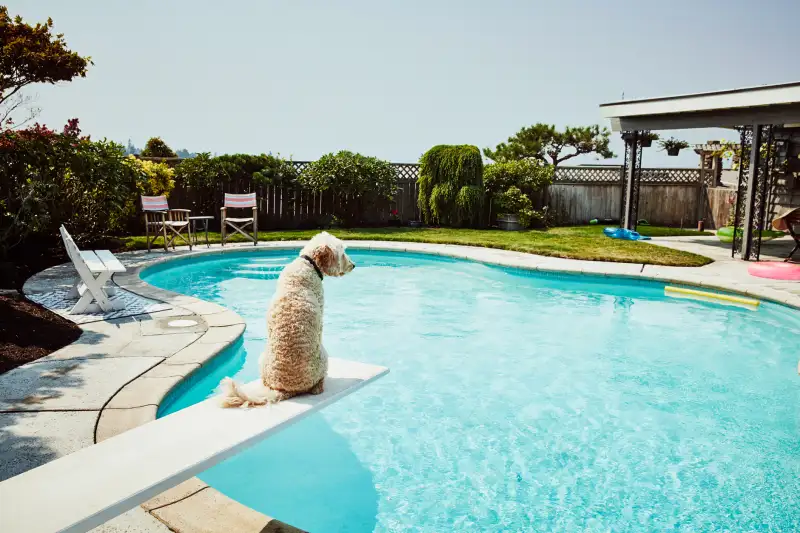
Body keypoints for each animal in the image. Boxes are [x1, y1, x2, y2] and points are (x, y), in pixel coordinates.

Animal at [220, 231, 354, 406]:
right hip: (324, 358)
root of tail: (285, 390)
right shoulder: (320, 320)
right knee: (317, 385)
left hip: (262, 360)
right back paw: (319, 386)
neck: (308, 265)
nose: (353, 265)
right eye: (342, 253)